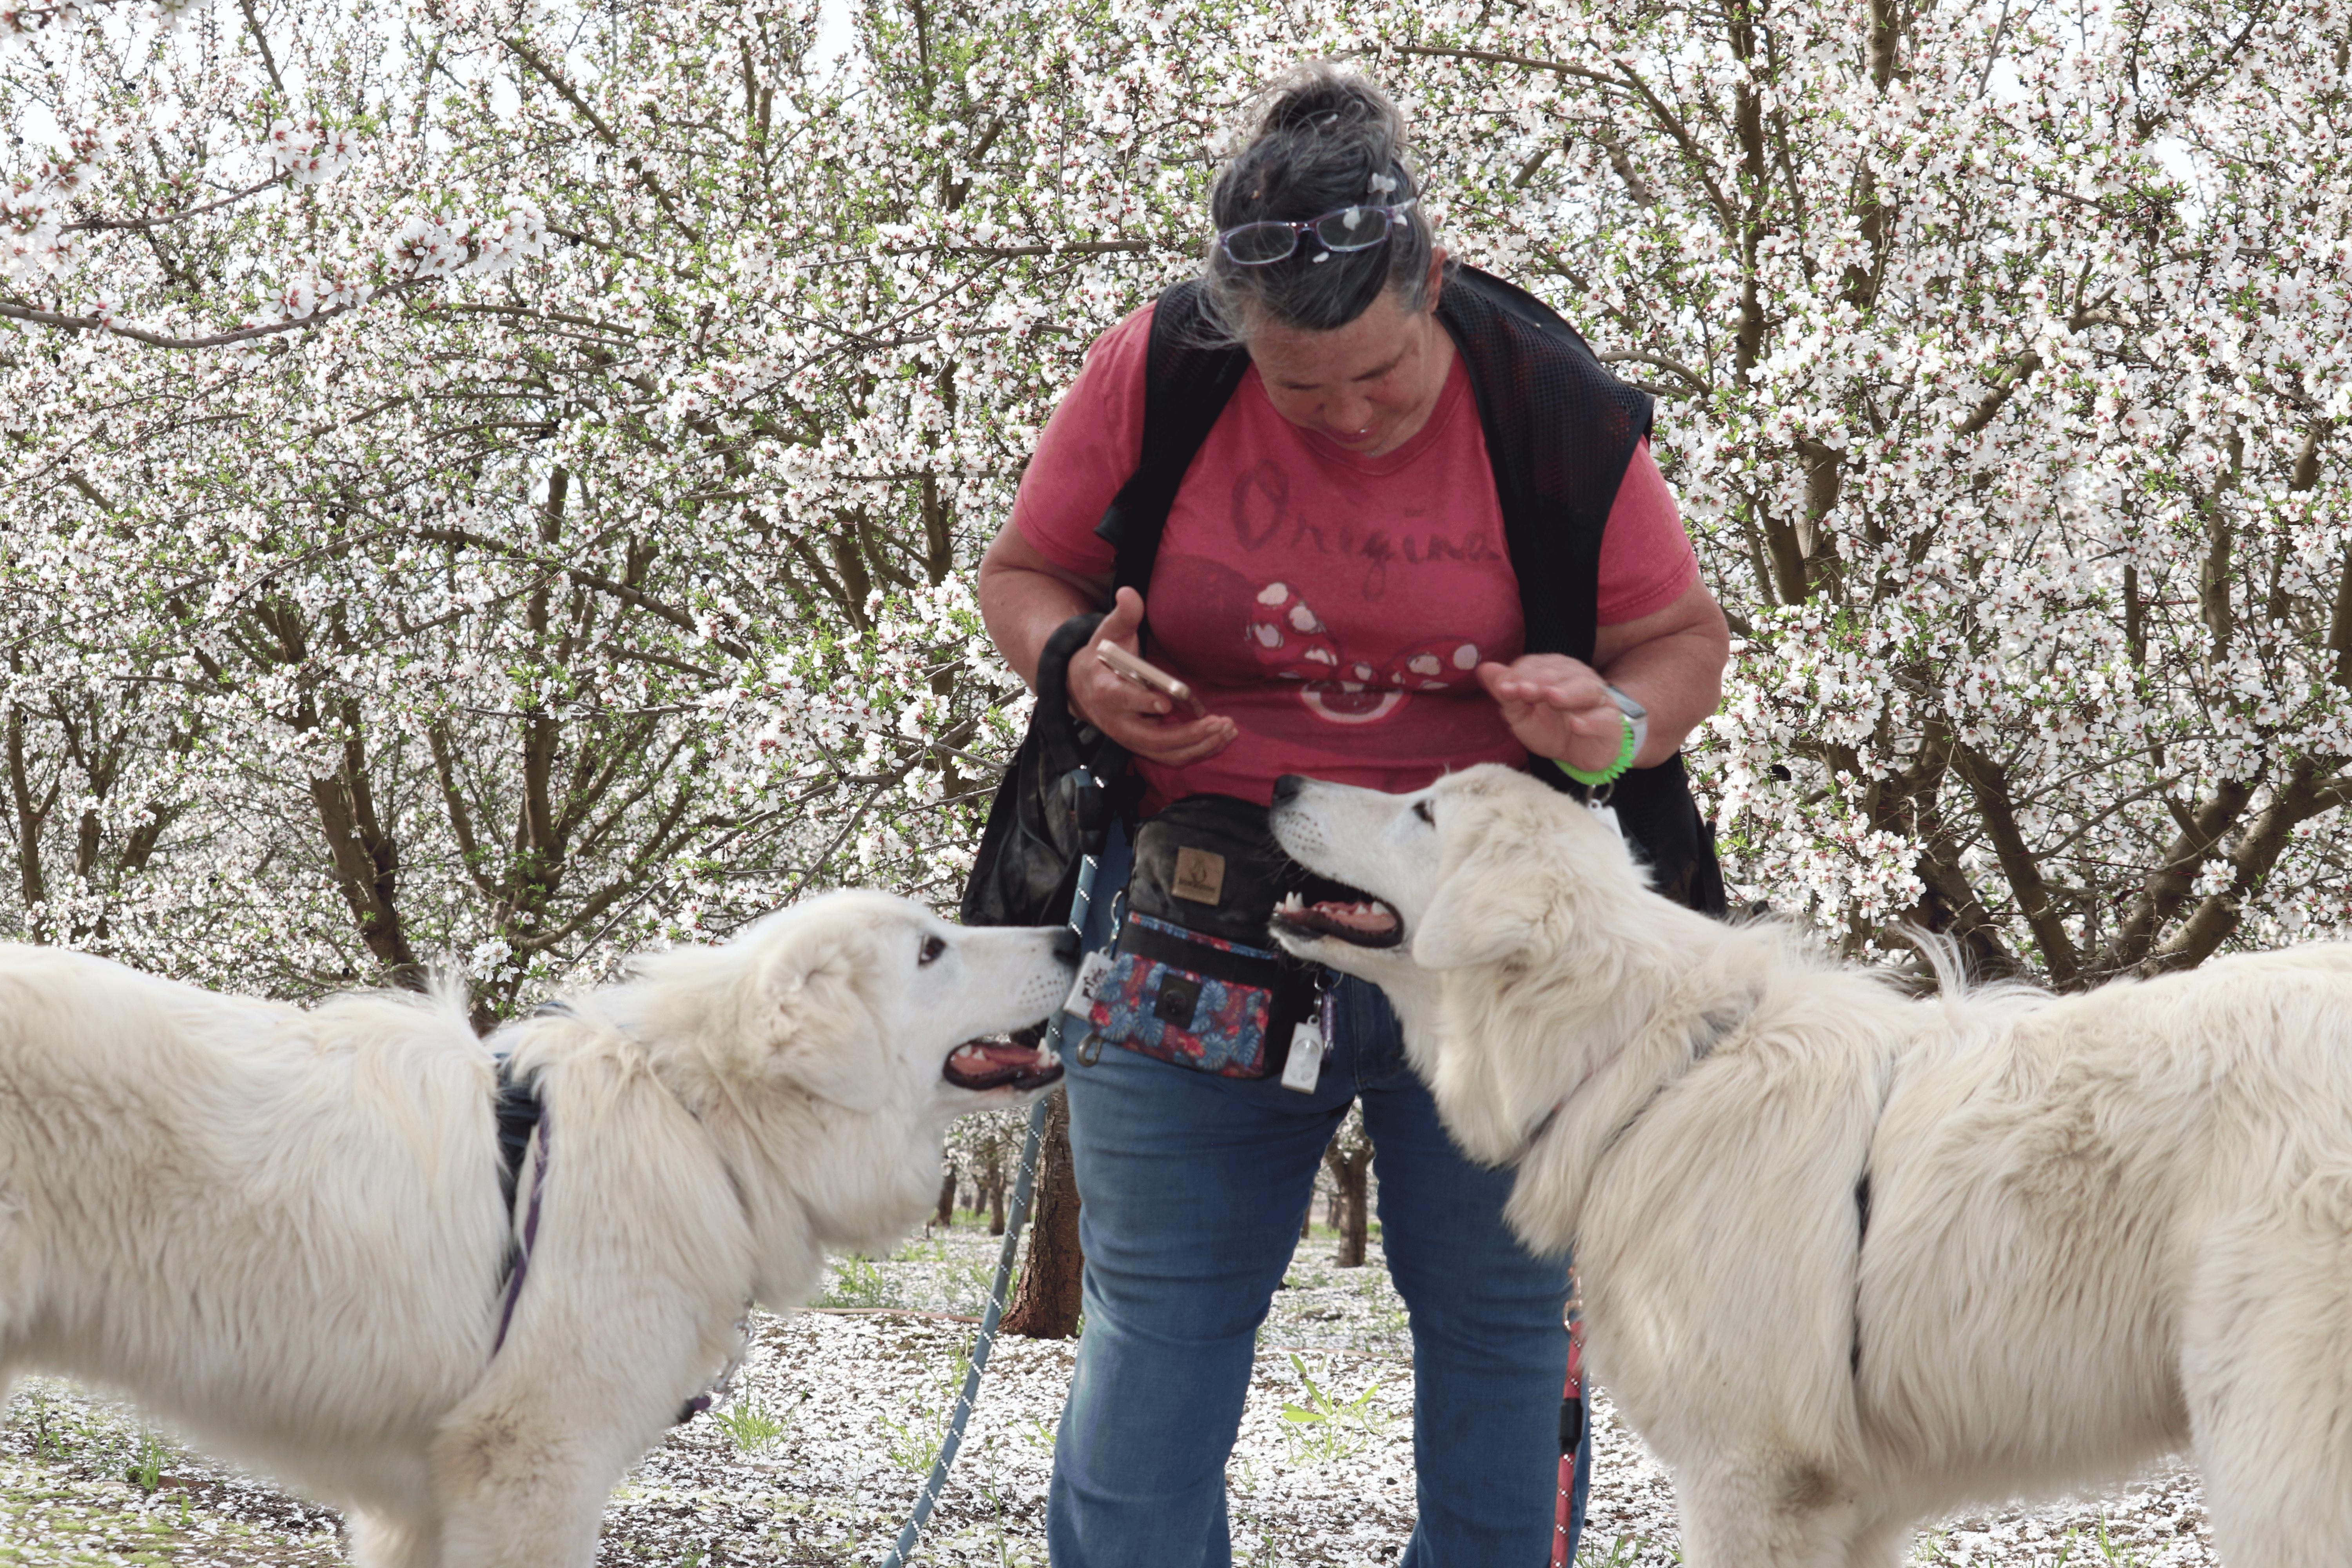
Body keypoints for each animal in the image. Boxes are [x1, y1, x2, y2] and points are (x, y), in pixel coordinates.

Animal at [1267, 764, 2352, 1568]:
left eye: (1424, 809)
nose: (1277, 782)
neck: (1649, 1061)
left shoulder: (1749, 1478)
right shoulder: (1849, 1506)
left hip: (2273, 1463)